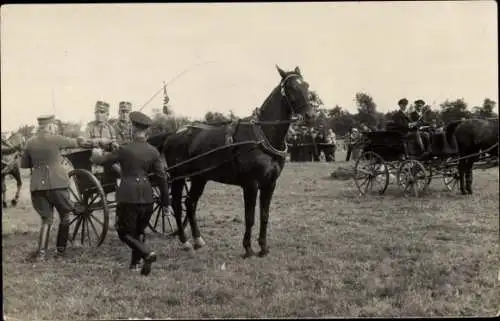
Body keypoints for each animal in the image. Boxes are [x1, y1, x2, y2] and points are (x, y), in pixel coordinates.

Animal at [154, 65, 314, 258]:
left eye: (306, 85)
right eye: (291, 87)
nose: (310, 116)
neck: (262, 135)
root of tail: (173, 134)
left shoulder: (270, 183)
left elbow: (264, 215)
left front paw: (263, 247)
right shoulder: (251, 184)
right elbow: (249, 217)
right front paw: (248, 248)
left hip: (200, 178)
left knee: (190, 203)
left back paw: (198, 239)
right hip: (178, 176)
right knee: (176, 204)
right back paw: (185, 241)